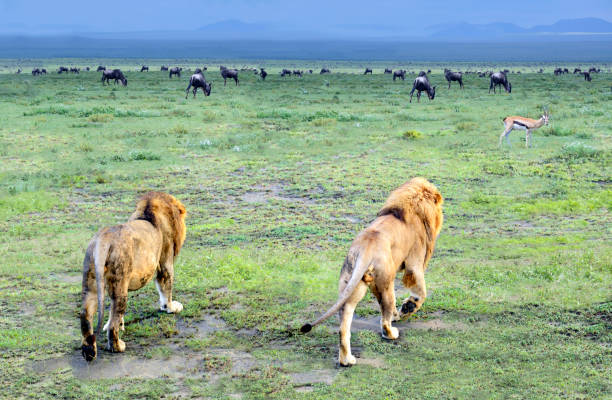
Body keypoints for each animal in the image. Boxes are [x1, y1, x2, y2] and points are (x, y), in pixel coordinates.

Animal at [81, 192, 186, 360]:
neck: (148, 211)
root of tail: (104, 238)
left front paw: (120, 323)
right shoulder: (165, 263)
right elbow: (166, 289)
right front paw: (171, 308)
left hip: (91, 282)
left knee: (86, 316)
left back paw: (89, 350)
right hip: (120, 282)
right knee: (113, 325)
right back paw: (118, 346)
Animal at [300, 177, 440, 366]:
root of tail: (365, 247)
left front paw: (400, 312)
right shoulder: (414, 262)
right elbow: (421, 292)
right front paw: (408, 307)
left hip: (352, 283)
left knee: (344, 324)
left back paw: (347, 360)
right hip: (385, 282)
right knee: (385, 320)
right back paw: (391, 333)